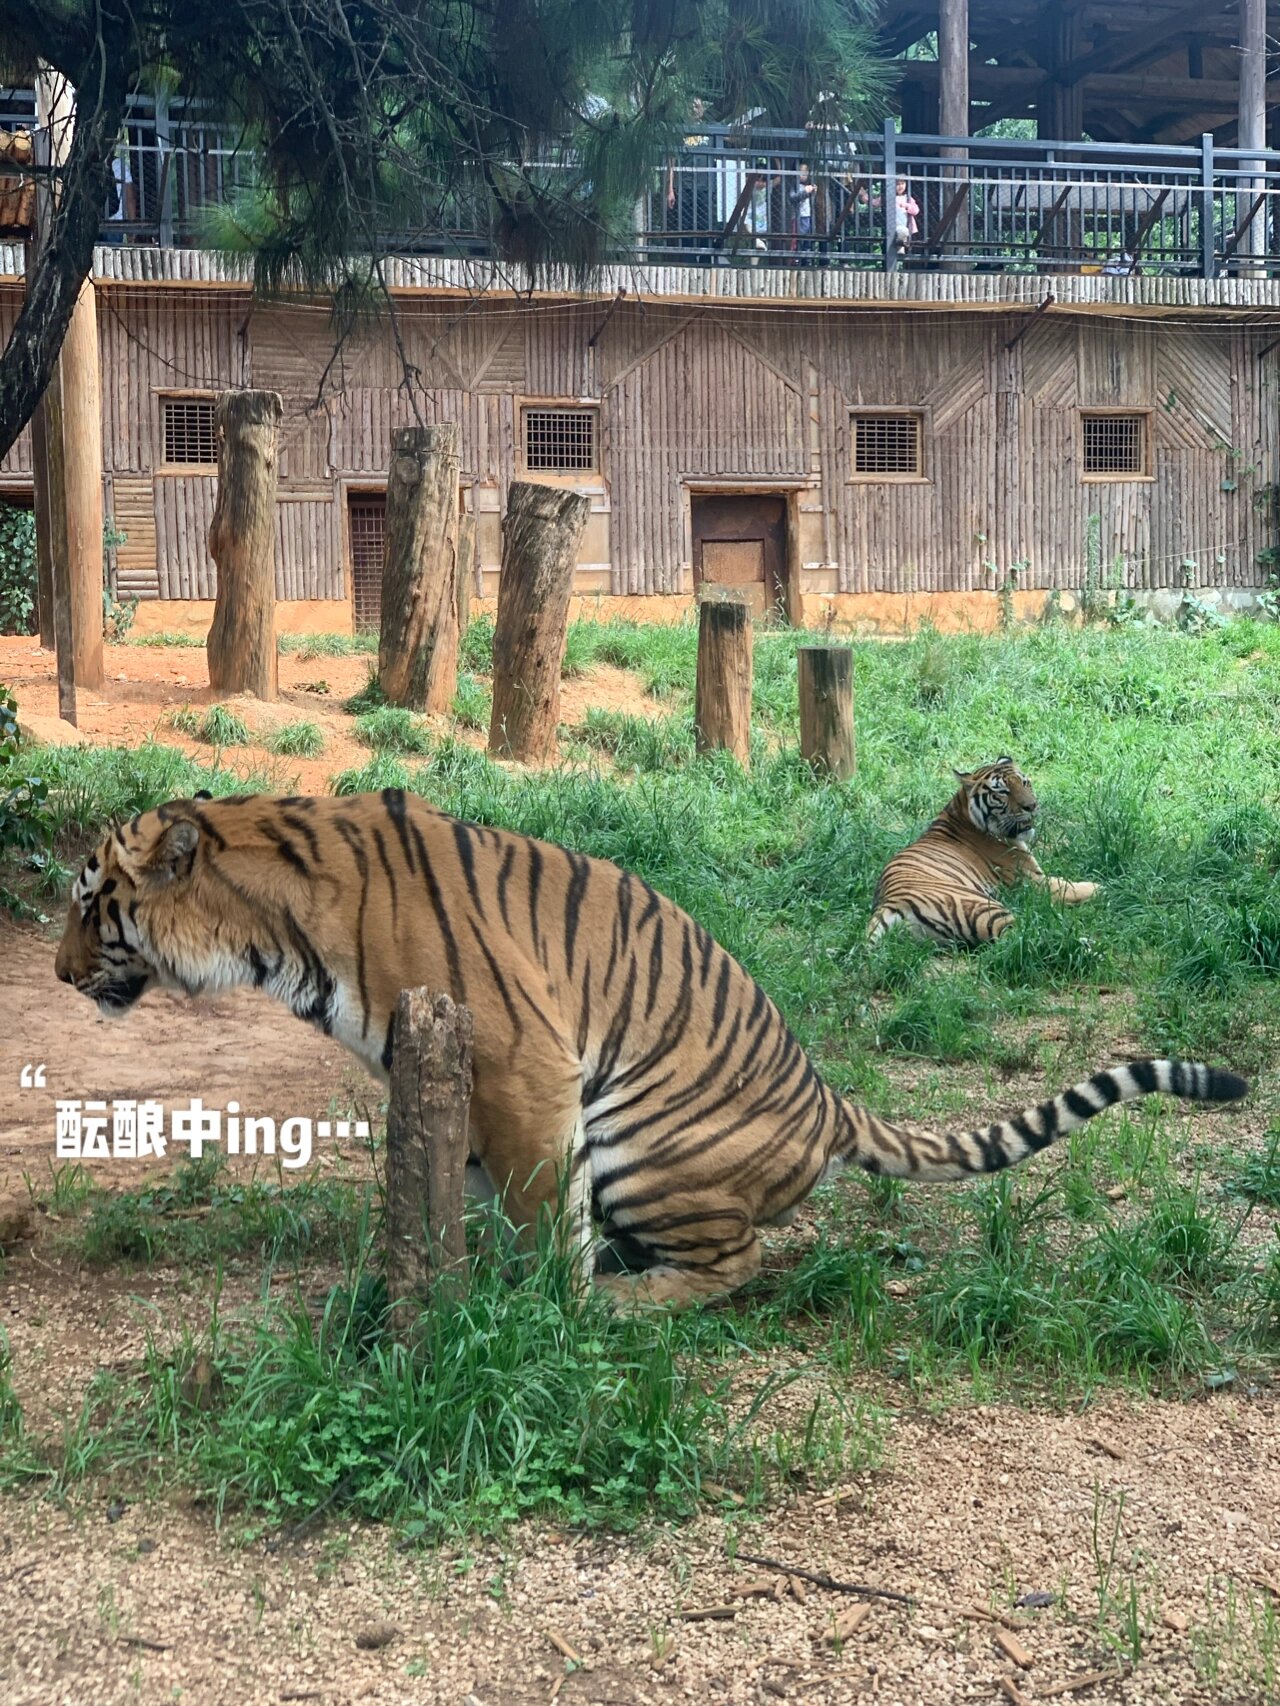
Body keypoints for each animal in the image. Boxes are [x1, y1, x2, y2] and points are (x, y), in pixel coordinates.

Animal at [55, 784, 1249, 1303]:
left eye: (87, 898)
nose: (62, 976)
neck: (272, 933)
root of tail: (829, 1101)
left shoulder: (525, 1065)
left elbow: (542, 1218)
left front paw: (547, 1311)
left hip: (641, 1138)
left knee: (737, 1262)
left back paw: (631, 1300)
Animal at [873, 757, 1105, 948]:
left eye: (1024, 783)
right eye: (1002, 792)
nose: (1032, 806)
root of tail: (891, 904)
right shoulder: (1034, 882)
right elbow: (1071, 887)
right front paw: (1100, 887)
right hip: (985, 908)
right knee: (1021, 938)